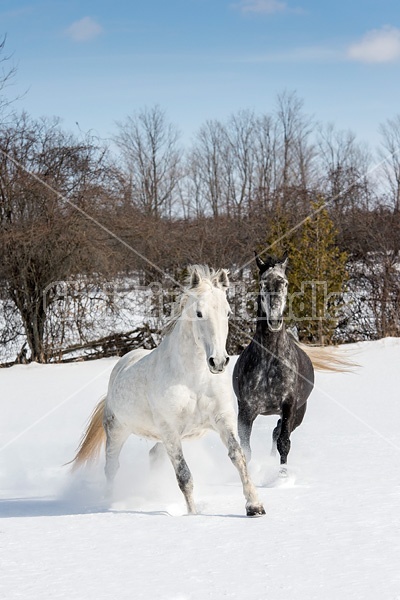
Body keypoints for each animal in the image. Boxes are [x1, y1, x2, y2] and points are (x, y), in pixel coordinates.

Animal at [72, 264, 266, 516]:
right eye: (199, 313)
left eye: (228, 312)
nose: (218, 362)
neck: (194, 380)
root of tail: (122, 364)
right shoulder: (170, 430)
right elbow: (184, 476)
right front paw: (193, 514)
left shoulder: (222, 420)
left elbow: (238, 457)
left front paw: (255, 506)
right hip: (118, 431)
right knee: (111, 467)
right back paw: (109, 502)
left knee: (154, 455)